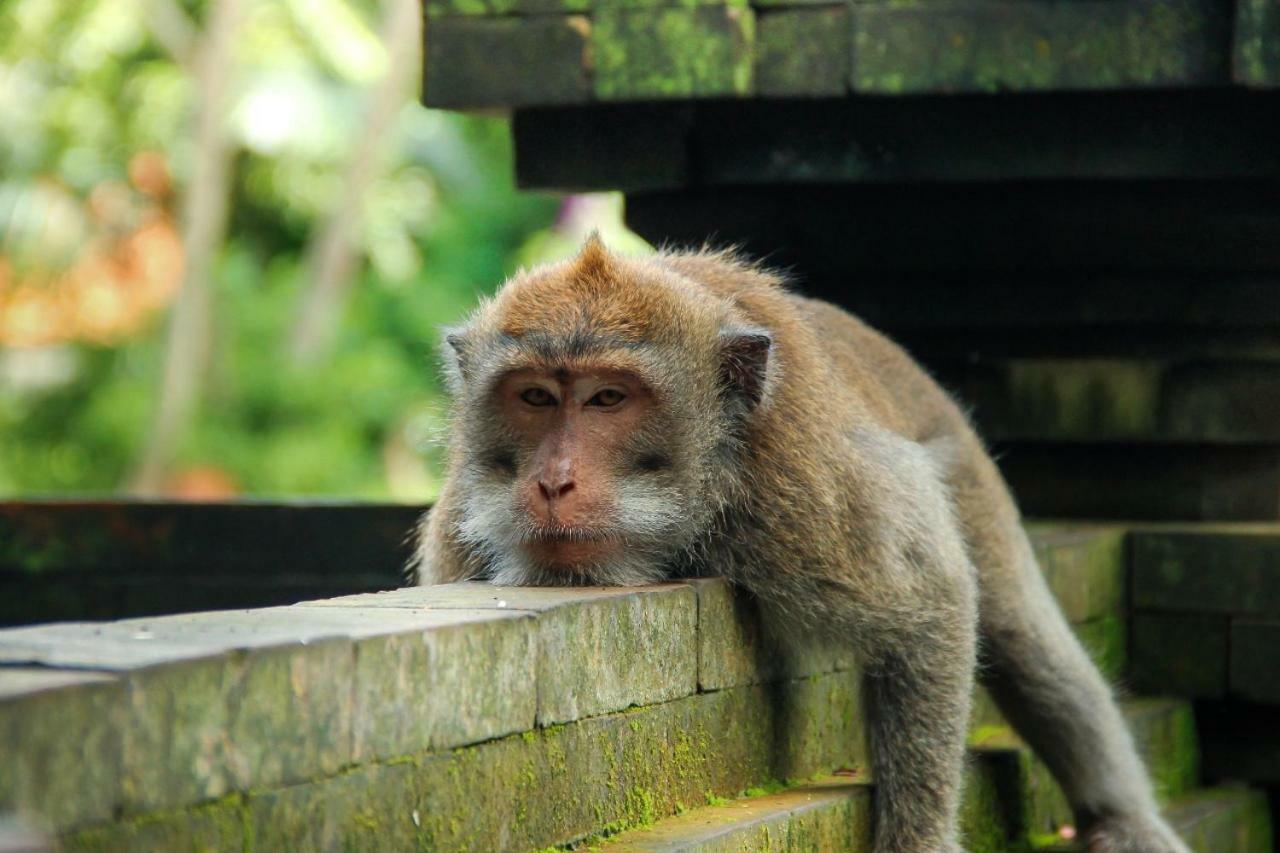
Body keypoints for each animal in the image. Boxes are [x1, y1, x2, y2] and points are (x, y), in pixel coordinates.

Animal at [412, 234, 1187, 850]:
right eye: (536, 397)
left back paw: (1121, 815)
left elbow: (932, 605)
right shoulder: (459, 530)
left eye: (609, 398)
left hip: (967, 472)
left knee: (1025, 639)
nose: (554, 480)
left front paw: (918, 841)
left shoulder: (810, 496)